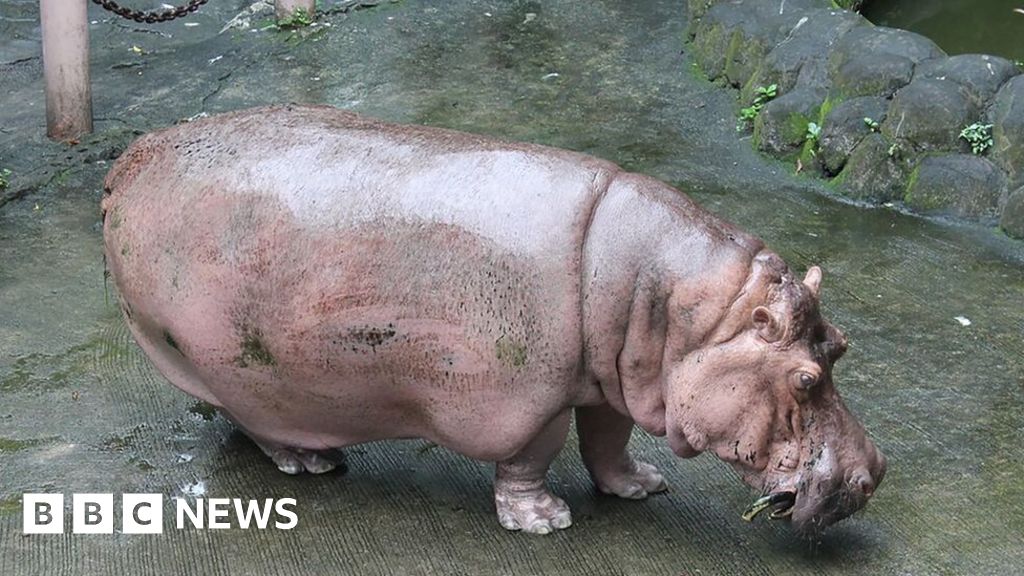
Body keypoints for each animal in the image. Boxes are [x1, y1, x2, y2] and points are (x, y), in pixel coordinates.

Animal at [101, 104, 885, 536]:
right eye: (806, 379)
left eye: (842, 345)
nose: (873, 473)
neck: (680, 312)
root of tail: (131, 157)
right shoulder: (530, 396)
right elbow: (536, 455)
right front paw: (545, 522)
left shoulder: (613, 380)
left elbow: (608, 439)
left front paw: (640, 487)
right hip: (227, 362)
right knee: (258, 421)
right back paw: (312, 463)